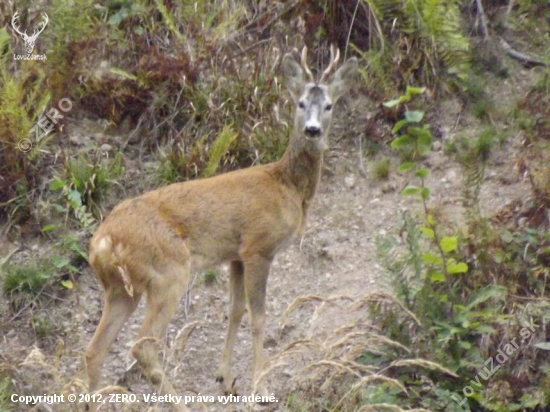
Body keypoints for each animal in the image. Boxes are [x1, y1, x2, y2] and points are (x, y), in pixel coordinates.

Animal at [82, 46, 358, 410]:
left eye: (328, 105)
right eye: (300, 103)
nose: (312, 130)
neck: (286, 186)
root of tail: (102, 241)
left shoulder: (235, 255)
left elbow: (235, 310)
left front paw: (225, 380)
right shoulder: (258, 247)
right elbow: (258, 318)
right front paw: (260, 386)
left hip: (121, 288)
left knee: (94, 351)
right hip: (168, 272)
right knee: (143, 345)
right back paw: (179, 403)